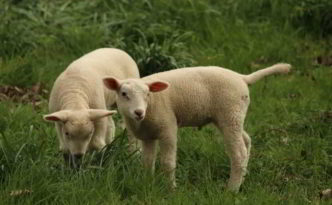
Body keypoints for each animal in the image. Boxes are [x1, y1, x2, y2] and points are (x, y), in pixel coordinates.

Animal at [103, 62, 290, 192]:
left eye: (148, 94)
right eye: (124, 94)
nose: (139, 112)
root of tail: (242, 77)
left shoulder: (168, 127)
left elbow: (168, 162)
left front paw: (171, 189)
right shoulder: (148, 135)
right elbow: (148, 162)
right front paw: (147, 183)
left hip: (230, 113)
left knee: (238, 152)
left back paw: (232, 189)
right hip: (233, 117)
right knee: (246, 140)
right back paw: (243, 178)